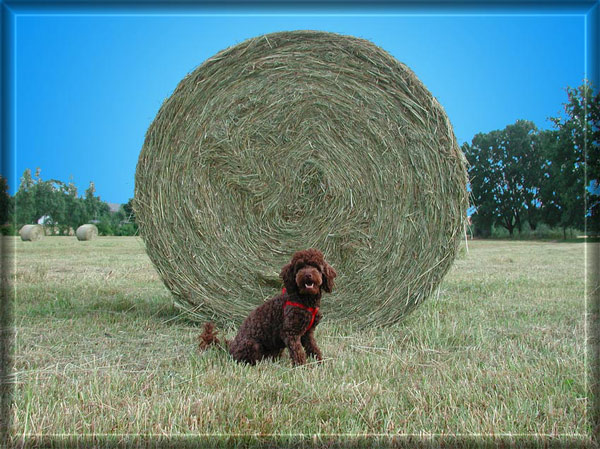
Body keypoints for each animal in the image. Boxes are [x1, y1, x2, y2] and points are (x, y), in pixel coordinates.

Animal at [198, 247, 336, 366]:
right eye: (300, 267)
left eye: (316, 266)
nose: (307, 275)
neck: (305, 300)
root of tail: (229, 348)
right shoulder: (291, 333)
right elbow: (298, 353)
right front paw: (302, 367)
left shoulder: (308, 333)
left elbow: (313, 348)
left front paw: (320, 364)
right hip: (252, 345)